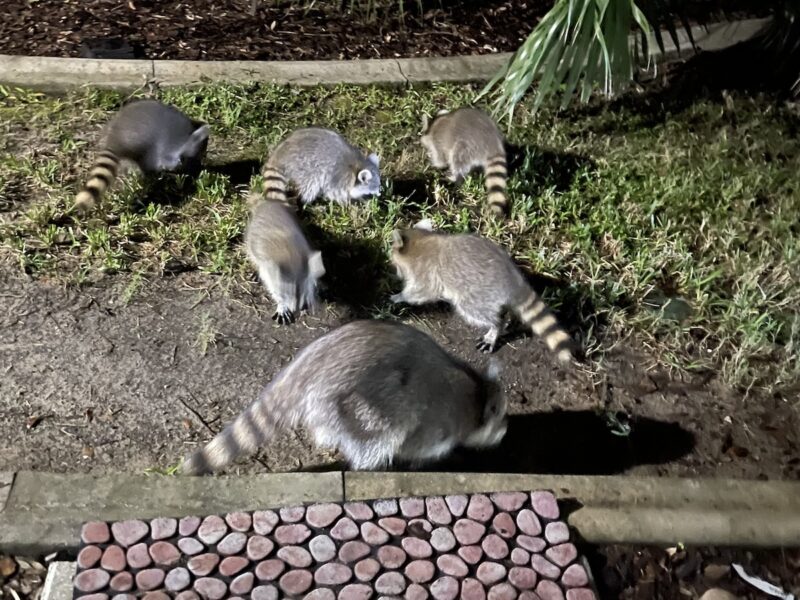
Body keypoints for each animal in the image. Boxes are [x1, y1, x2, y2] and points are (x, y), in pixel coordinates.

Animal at [181, 319, 507, 475]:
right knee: (381, 435)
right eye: (500, 418)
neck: (477, 394)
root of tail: (313, 362)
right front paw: (422, 460)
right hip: (360, 400)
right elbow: (416, 445)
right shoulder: (437, 421)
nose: (505, 433)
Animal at [245, 184, 325, 325]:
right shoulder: (269, 268)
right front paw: (281, 304)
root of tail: (268, 204)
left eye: (304, 290)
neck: (293, 258)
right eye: (286, 293)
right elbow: (271, 283)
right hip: (251, 240)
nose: (298, 310)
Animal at [389, 224, 574, 362]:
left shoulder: (426, 271)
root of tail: (513, 280)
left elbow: (424, 291)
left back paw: (496, 326)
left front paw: (399, 297)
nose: (396, 274)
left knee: (475, 310)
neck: (421, 241)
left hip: (476, 292)